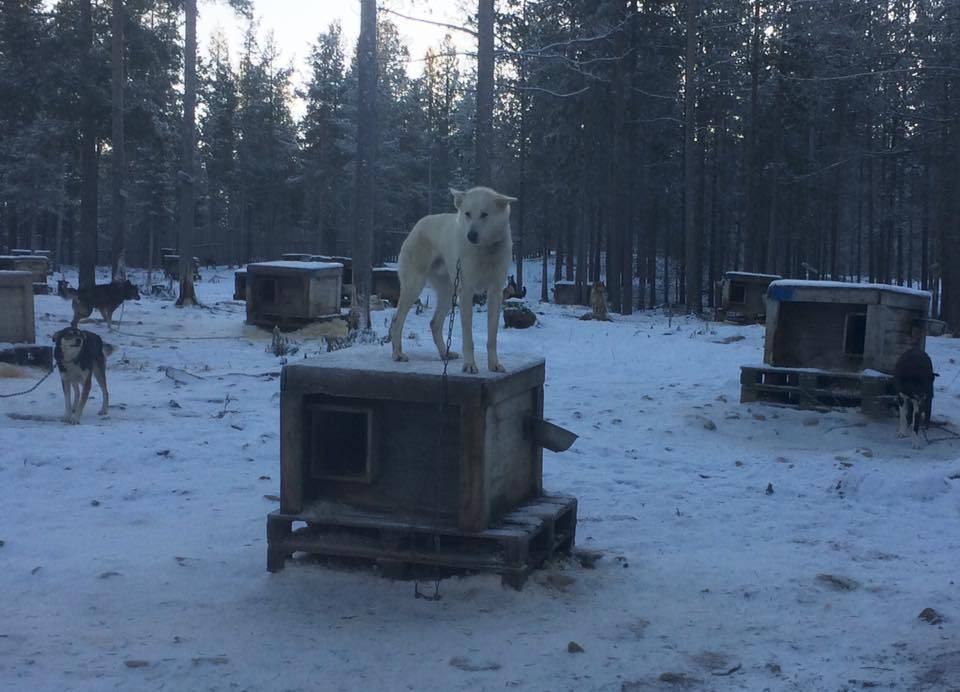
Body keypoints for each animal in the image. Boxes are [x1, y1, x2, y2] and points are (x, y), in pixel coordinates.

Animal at [390, 185, 516, 374]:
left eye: (484, 214)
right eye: (467, 214)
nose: (471, 235)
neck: (485, 250)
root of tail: (419, 224)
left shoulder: (495, 292)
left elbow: (492, 337)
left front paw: (494, 364)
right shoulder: (467, 292)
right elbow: (468, 337)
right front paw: (470, 365)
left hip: (450, 293)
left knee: (434, 323)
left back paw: (445, 354)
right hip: (415, 287)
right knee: (397, 320)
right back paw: (398, 354)